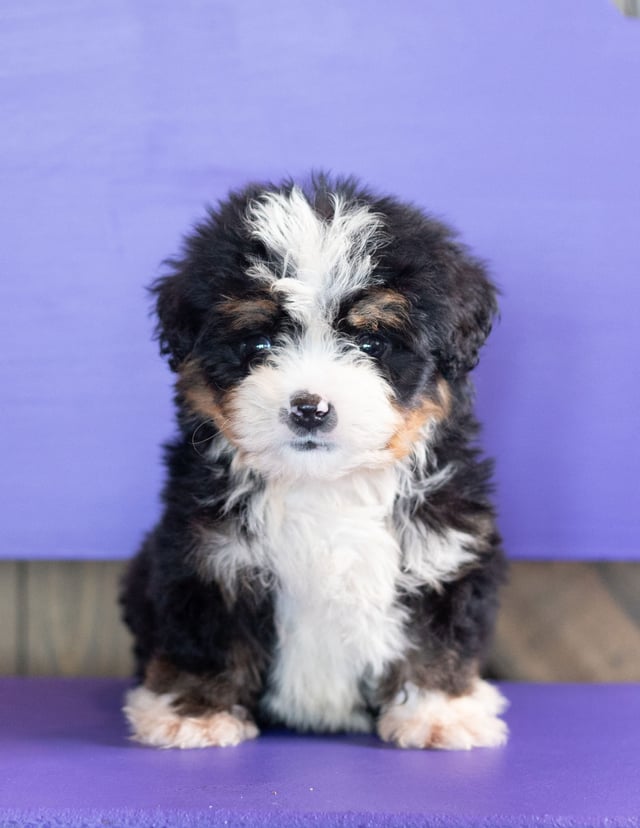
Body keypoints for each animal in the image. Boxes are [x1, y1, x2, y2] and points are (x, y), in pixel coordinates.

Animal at [120, 175, 508, 752]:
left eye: (371, 342)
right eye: (259, 342)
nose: (309, 408)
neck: (324, 485)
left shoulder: (444, 547)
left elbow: (437, 639)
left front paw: (440, 712)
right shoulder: (208, 554)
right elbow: (206, 637)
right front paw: (197, 714)